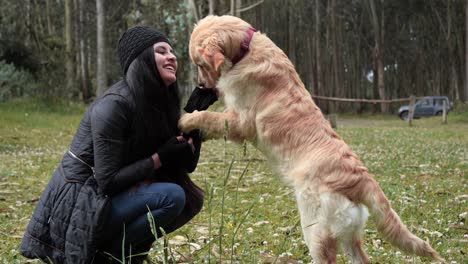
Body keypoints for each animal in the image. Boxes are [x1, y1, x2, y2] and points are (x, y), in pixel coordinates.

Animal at [179, 15, 446, 262]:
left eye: (200, 64)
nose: (201, 84)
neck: (246, 49)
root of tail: (362, 179)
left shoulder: (241, 121)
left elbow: (208, 117)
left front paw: (185, 120)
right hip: (348, 234)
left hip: (315, 229)